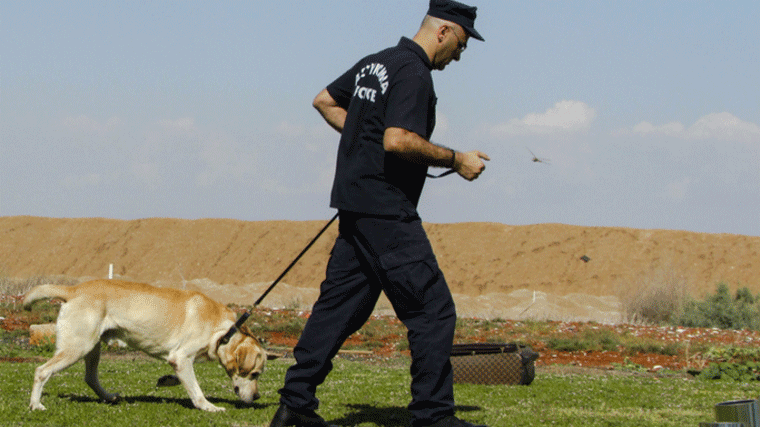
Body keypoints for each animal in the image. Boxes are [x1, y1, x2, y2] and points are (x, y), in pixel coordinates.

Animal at [23, 280, 268, 412]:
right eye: (255, 374)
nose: (257, 397)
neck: (225, 331)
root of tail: (73, 290)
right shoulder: (181, 356)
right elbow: (196, 391)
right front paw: (208, 407)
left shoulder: (179, 360)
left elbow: (185, 379)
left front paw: (168, 380)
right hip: (78, 346)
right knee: (41, 371)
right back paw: (35, 404)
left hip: (92, 347)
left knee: (90, 377)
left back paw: (108, 397)